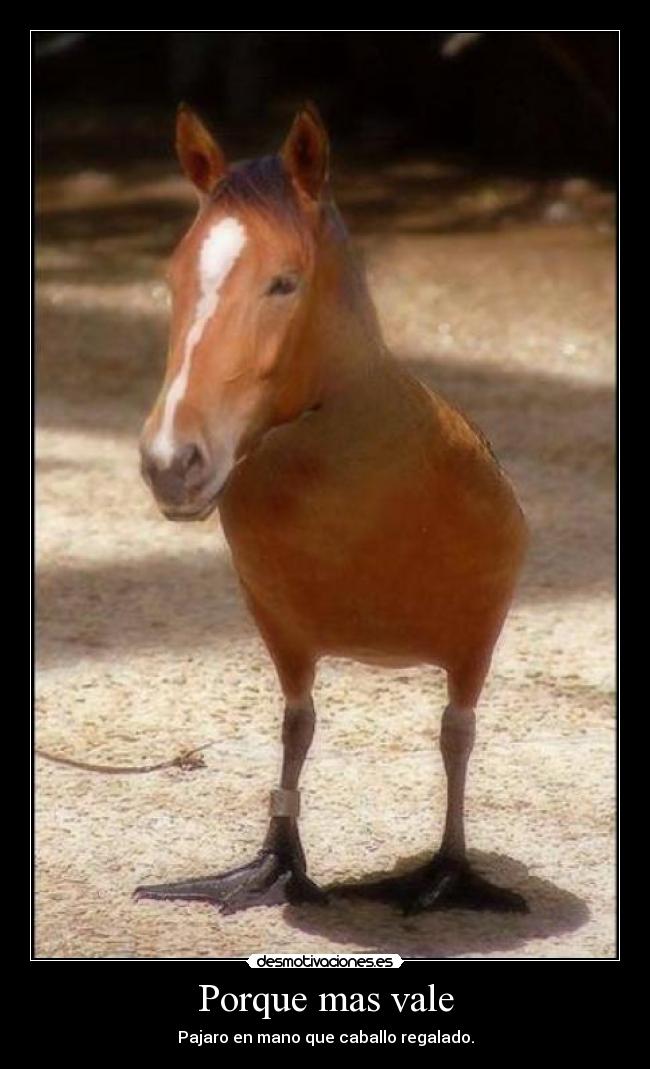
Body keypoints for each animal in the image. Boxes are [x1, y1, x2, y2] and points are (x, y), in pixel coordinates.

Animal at [136, 103, 529, 914]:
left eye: (284, 282)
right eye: (173, 278)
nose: (170, 461)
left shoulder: (476, 634)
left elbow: (456, 733)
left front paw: (447, 875)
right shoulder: (282, 629)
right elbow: (297, 726)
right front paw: (274, 865)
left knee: (457, 734)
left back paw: (446, 874)